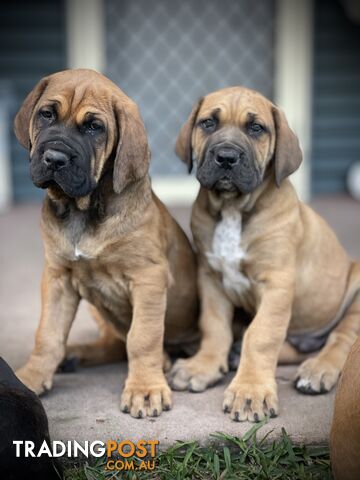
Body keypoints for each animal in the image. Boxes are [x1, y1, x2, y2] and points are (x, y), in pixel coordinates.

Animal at [14, 69, 198, 418]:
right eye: (47, 114)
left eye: (94, 127)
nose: (54, 158)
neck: (83, 210)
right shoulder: (57, 278)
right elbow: (48, 334)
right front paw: (31, 377)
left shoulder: (148, 277)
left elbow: (142, 337)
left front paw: (145, 389)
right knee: (112, 343)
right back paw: (75, 354)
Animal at [171, 85, 360, 420]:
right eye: (208, 123)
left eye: (256, 128)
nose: (226, 157)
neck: (233, 208)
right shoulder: (210, 278)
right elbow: (214, 326)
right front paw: (203, 366)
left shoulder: (276, 284)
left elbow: (261, 335)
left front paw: (251, 392)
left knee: (341, 338)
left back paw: (318, 370)